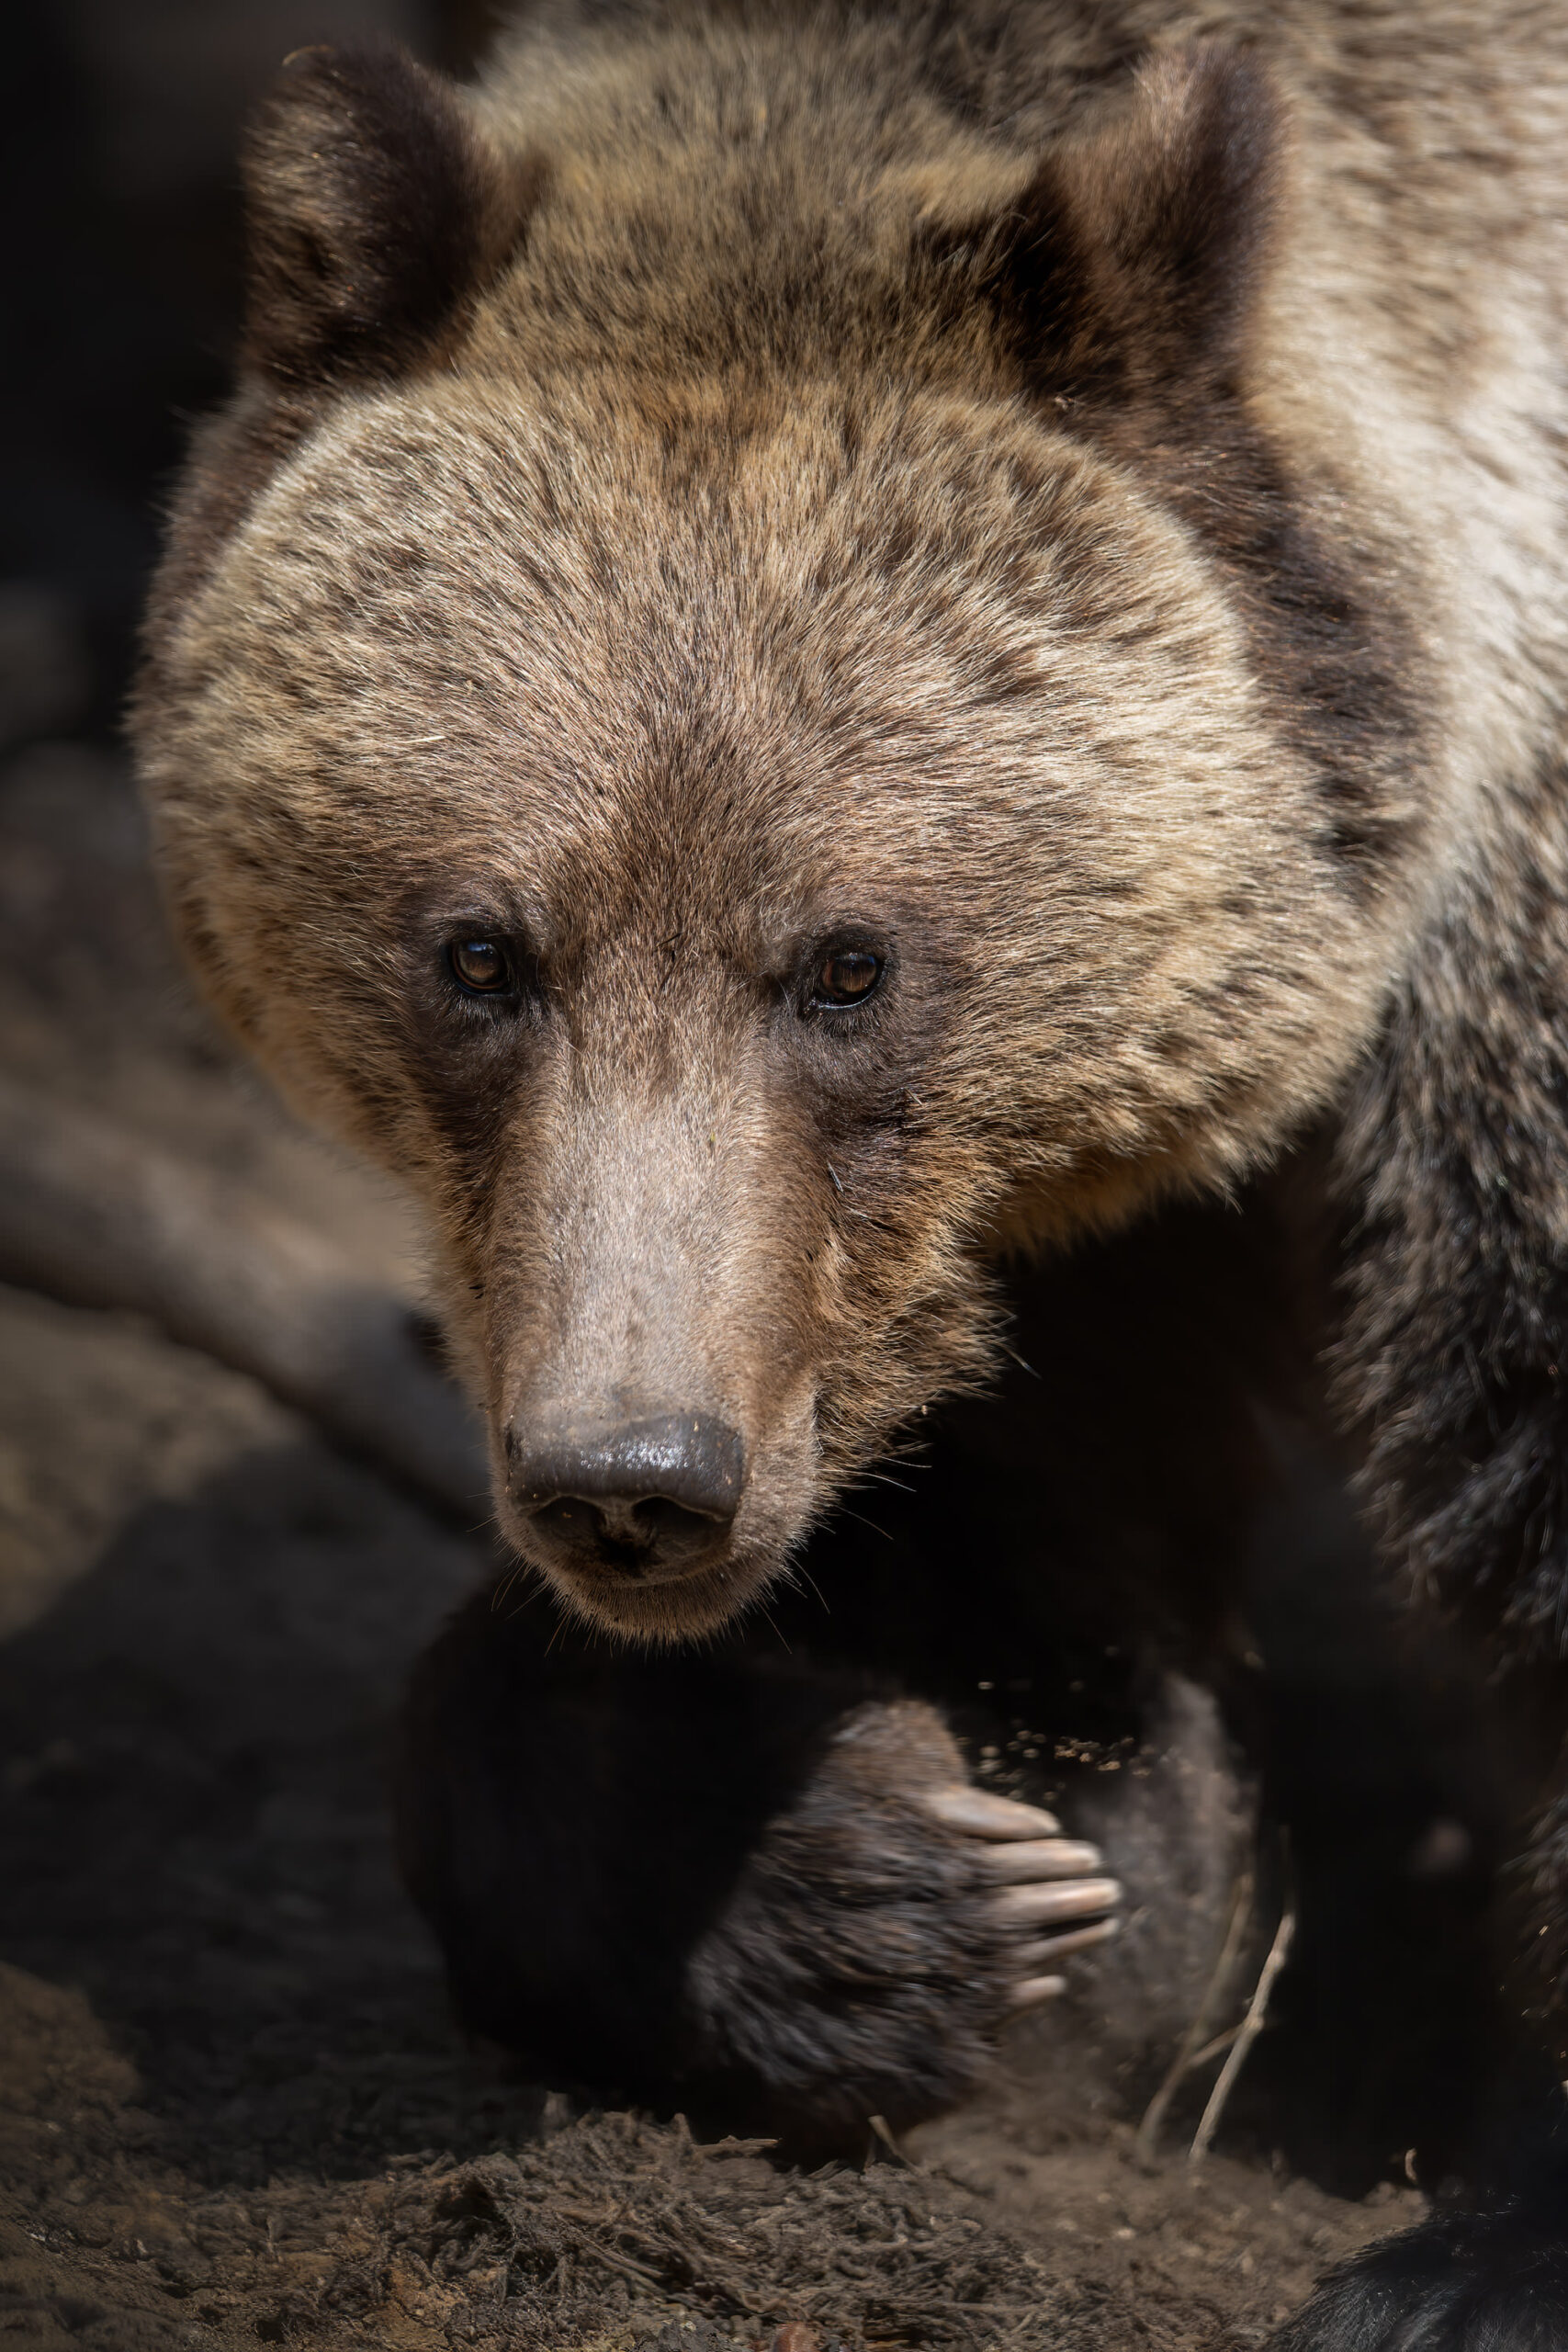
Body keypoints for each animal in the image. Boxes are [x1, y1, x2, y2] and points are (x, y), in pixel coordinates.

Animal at [131, 3, 1568, 2343]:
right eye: (479, 949)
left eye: (844, 961)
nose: (632, 1476)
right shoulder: (957, 1268)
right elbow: (1013, 1627)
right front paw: (884, 1879)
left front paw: (1458, 2256)